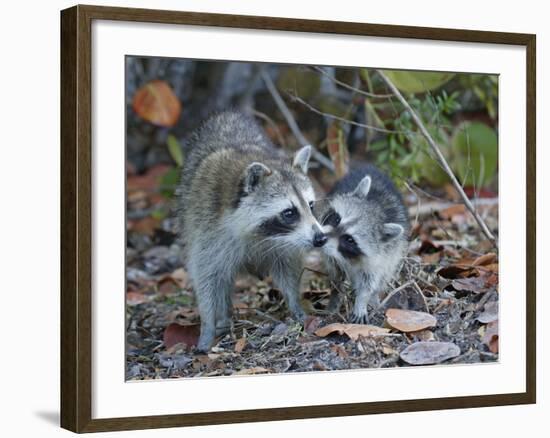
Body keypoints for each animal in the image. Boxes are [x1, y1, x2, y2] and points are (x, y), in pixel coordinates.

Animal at [177, 111, 328, 350]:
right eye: (289, 212)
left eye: (311, 205)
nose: (321, 238)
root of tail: (227, 115)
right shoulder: (206, 228)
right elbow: (206, 277)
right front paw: (207, 325)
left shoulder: (285, 242)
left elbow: (287, 268)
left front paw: (295, 305)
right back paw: (223, 317)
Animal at [314, 163, 410, 322]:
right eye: (336, 219)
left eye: (349, 239)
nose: (319, 239)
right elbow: (335, 275)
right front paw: (335, 296)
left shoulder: (382, 255)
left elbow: (369, 281)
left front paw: (362, 300)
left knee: (385, 275)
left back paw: (375, 299)